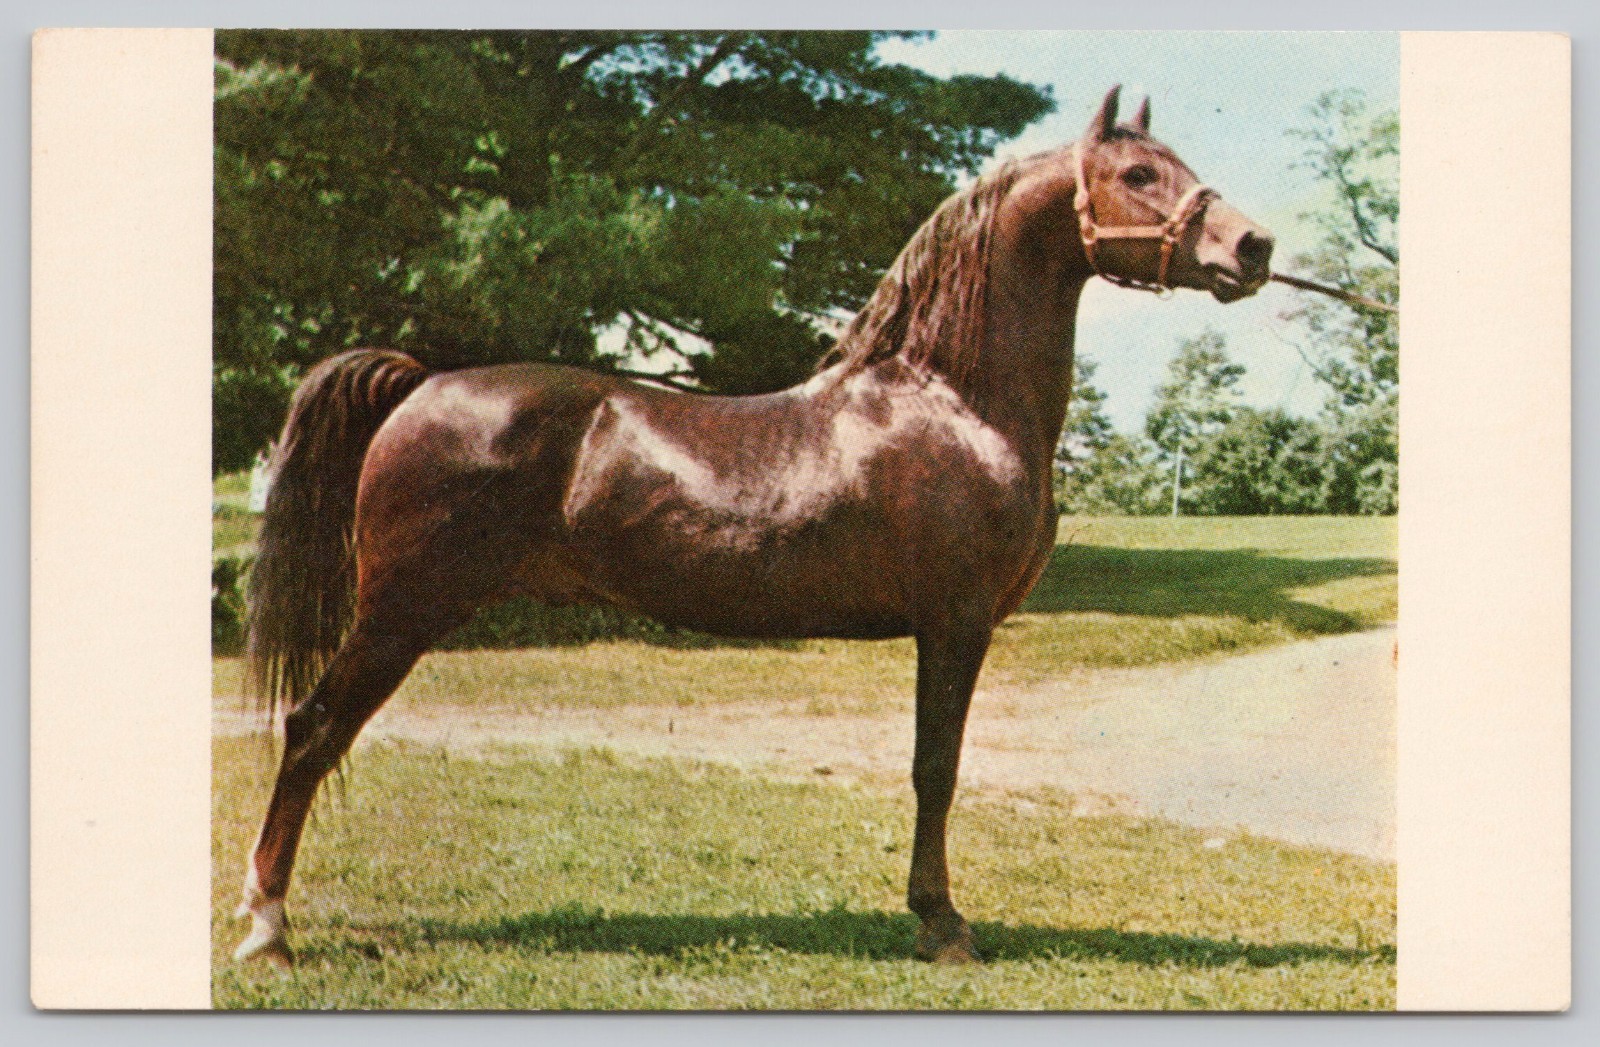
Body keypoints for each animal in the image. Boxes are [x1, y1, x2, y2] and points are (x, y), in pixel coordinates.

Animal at [234, 86, 1274, 968]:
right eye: (1138, 174)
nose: (1254, 247)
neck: (951, 401)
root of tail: (422, 383)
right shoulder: (955, 622)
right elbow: (935, 767)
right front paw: (942, 924)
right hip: (399, 611)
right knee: (313, 728)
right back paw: (267, 928)